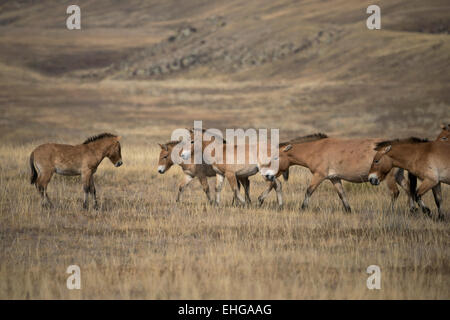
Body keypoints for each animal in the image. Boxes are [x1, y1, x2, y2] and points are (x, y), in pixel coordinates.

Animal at [256, 133, 414, 212]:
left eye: (275, 158)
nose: (268, 175)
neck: (316, 149)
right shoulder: (334, 178)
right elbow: (342, 194)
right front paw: (348, 210)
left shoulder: (319, 176)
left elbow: (309, 191)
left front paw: (302, 208)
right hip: (398, 176)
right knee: (408, 189)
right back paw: (414, 209)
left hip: (389, 177)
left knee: (395, 193)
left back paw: (391, 211)